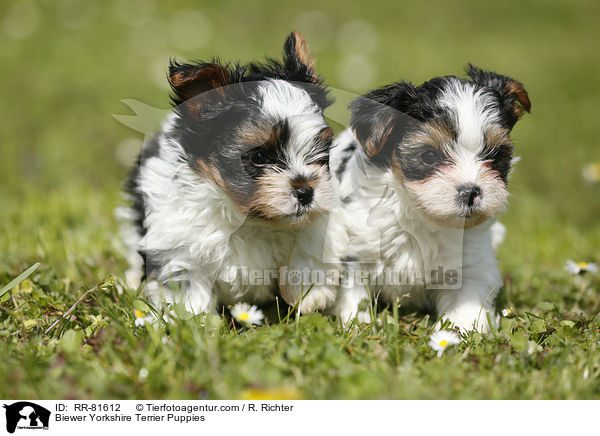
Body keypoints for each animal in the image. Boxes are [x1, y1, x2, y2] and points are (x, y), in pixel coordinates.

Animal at [120, 32, 342, 316]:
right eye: (259, 157)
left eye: (321, 153)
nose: (305, 192)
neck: (247, 219)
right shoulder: (178, 246)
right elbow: (187, 288)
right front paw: (194, 321)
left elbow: (308, 243)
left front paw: (311, 293)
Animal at [330, 64, 532, 330]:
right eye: (428, 156)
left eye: (495, 155)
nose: (470, 191)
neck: (421, 216)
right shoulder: (357, 245)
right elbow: (354, 291)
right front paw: (359, 324)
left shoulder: (471, 263)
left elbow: (468, 299)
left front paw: (462, 329)